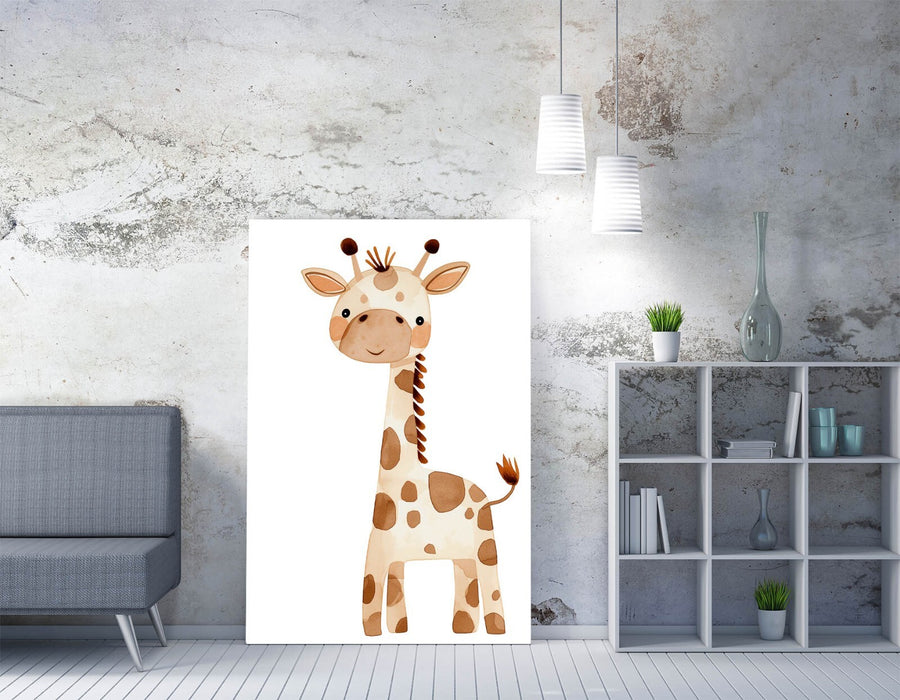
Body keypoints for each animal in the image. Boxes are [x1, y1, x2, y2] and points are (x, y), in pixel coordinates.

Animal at [302, 238, 519, 636]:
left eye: (419, 319)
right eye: (345, 311)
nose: (381, 329)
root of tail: (487, 495)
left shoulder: (376, 555)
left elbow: (369, 606)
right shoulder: (388, 555)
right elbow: (391, 602)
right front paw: (399, 632)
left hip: (485, 542)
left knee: (491, 585)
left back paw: (496, 631)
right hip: (461, 553)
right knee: (467, 583)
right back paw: (461, 631)